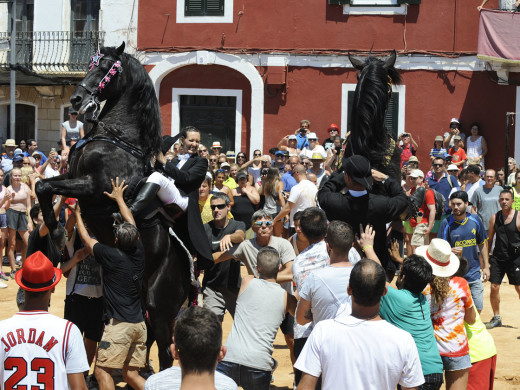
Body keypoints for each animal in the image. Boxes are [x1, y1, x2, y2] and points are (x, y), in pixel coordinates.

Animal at [36, 42, 191, 368]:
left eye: (107, 67)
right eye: (91, 63)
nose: (77, 99)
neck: (117, 138)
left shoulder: (95, 187)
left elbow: (45, 186)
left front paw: (57, 233)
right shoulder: (72, 176)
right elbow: (42, 186)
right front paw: (57, 232)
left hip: (159, 306)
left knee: (165, 351)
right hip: (140, 301)